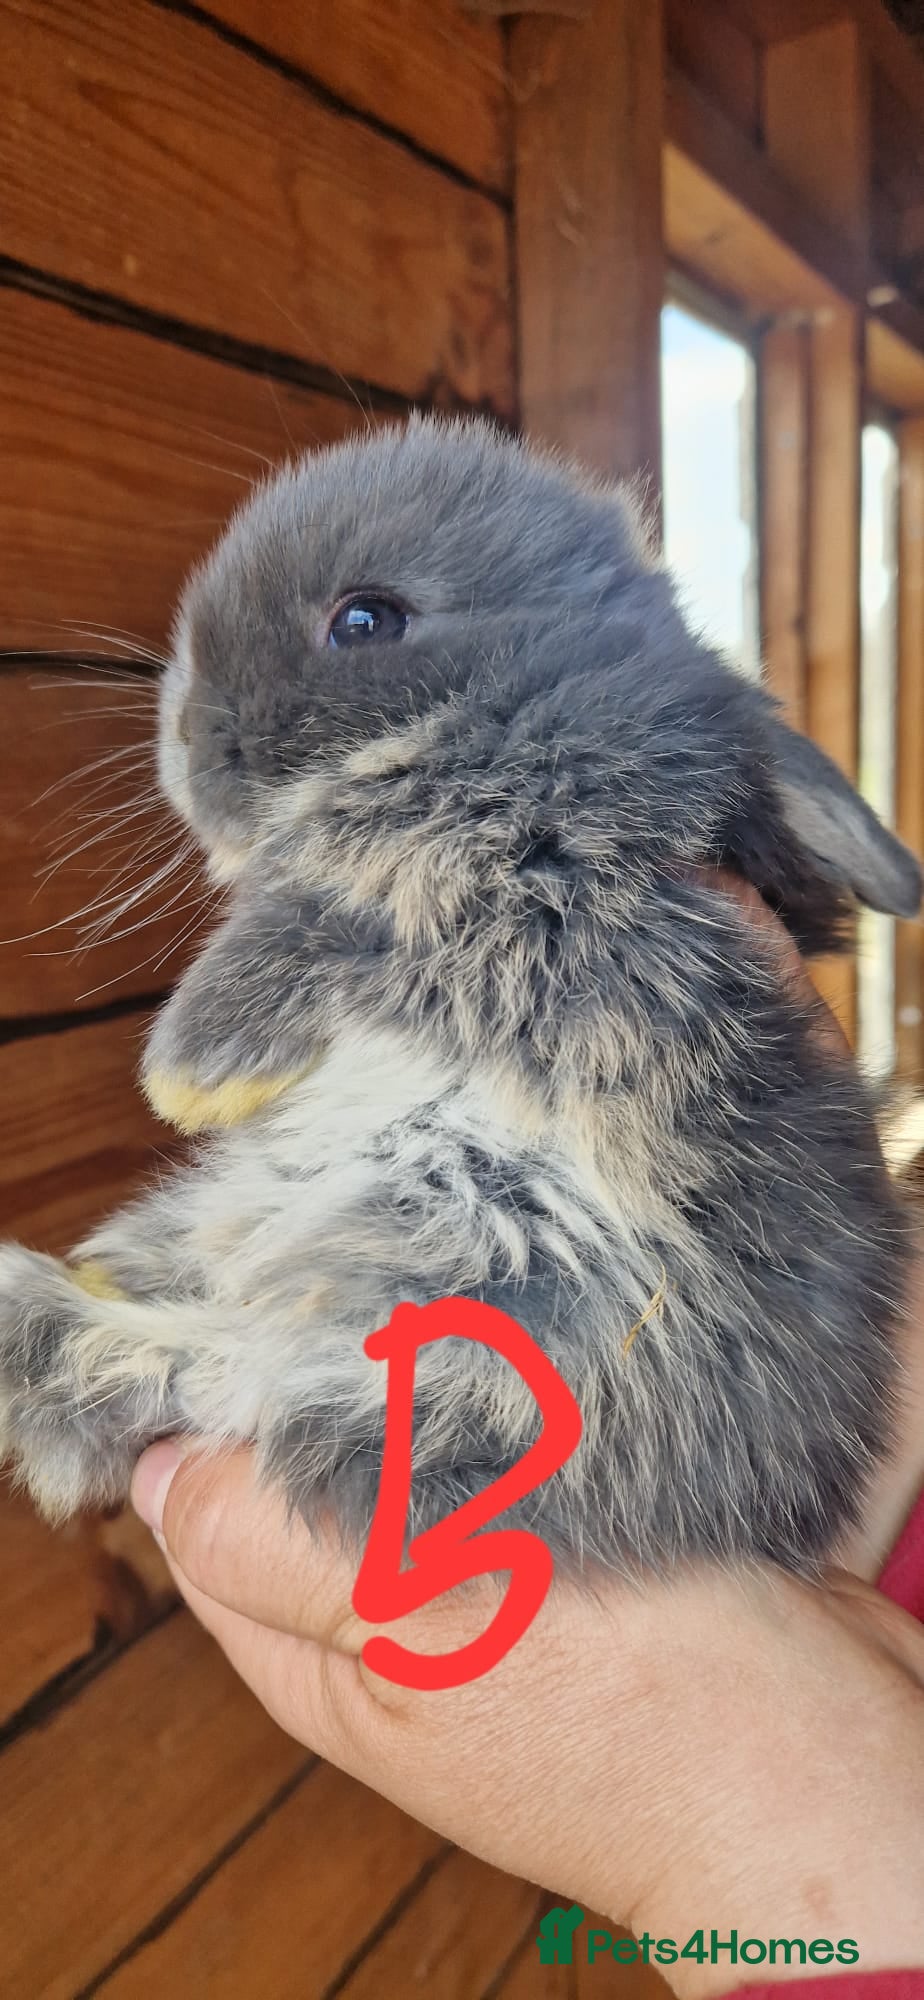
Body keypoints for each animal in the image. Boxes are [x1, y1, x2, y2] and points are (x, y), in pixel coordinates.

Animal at [0, 412, 921, 1578]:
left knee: (234, 1375)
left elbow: (323, 918)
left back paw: (32, 1318)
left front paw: (184, 1073)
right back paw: (95, 1279)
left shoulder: (506, 875)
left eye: (366, 619)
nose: (185, 740)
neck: (508, 701)